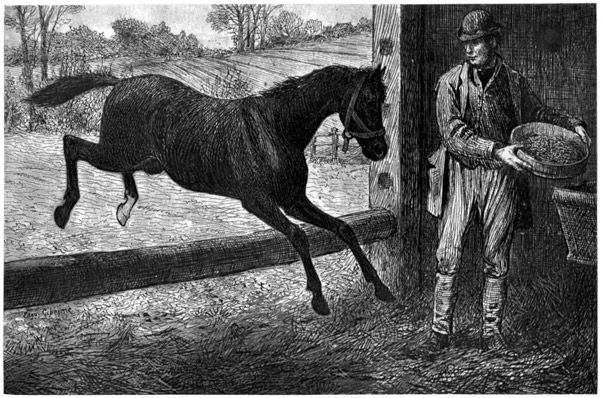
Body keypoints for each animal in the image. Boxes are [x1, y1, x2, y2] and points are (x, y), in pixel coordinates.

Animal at [27, 64, 394, 314]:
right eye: (369, 100)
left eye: (382, 101)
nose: (380, 150)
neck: (275, 129)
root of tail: (120, 84)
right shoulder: (258, 202)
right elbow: (299, 236)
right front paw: (318, 297)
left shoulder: (293, 200)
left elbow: (344, 229)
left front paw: (381, 288)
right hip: (116, 150)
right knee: (71, 144)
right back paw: (64, 211)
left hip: (141, 157)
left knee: (118, 168)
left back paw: (125, 207)